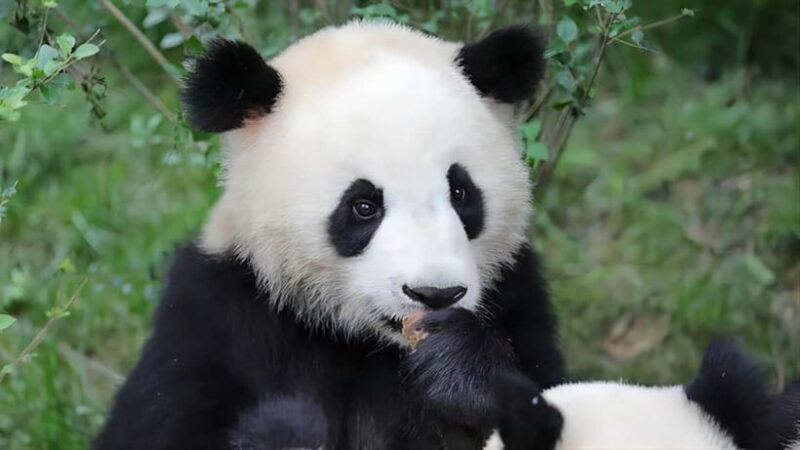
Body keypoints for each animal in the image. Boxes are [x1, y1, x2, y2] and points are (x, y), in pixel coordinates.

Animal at [94, 21, 565, 449]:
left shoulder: (517, 296)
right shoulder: (215, 315)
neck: (358, 340)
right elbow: (159, 429)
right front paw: (286, 427)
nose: (435, 294)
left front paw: (460, 367)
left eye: (460, 192)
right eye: (363, 206)